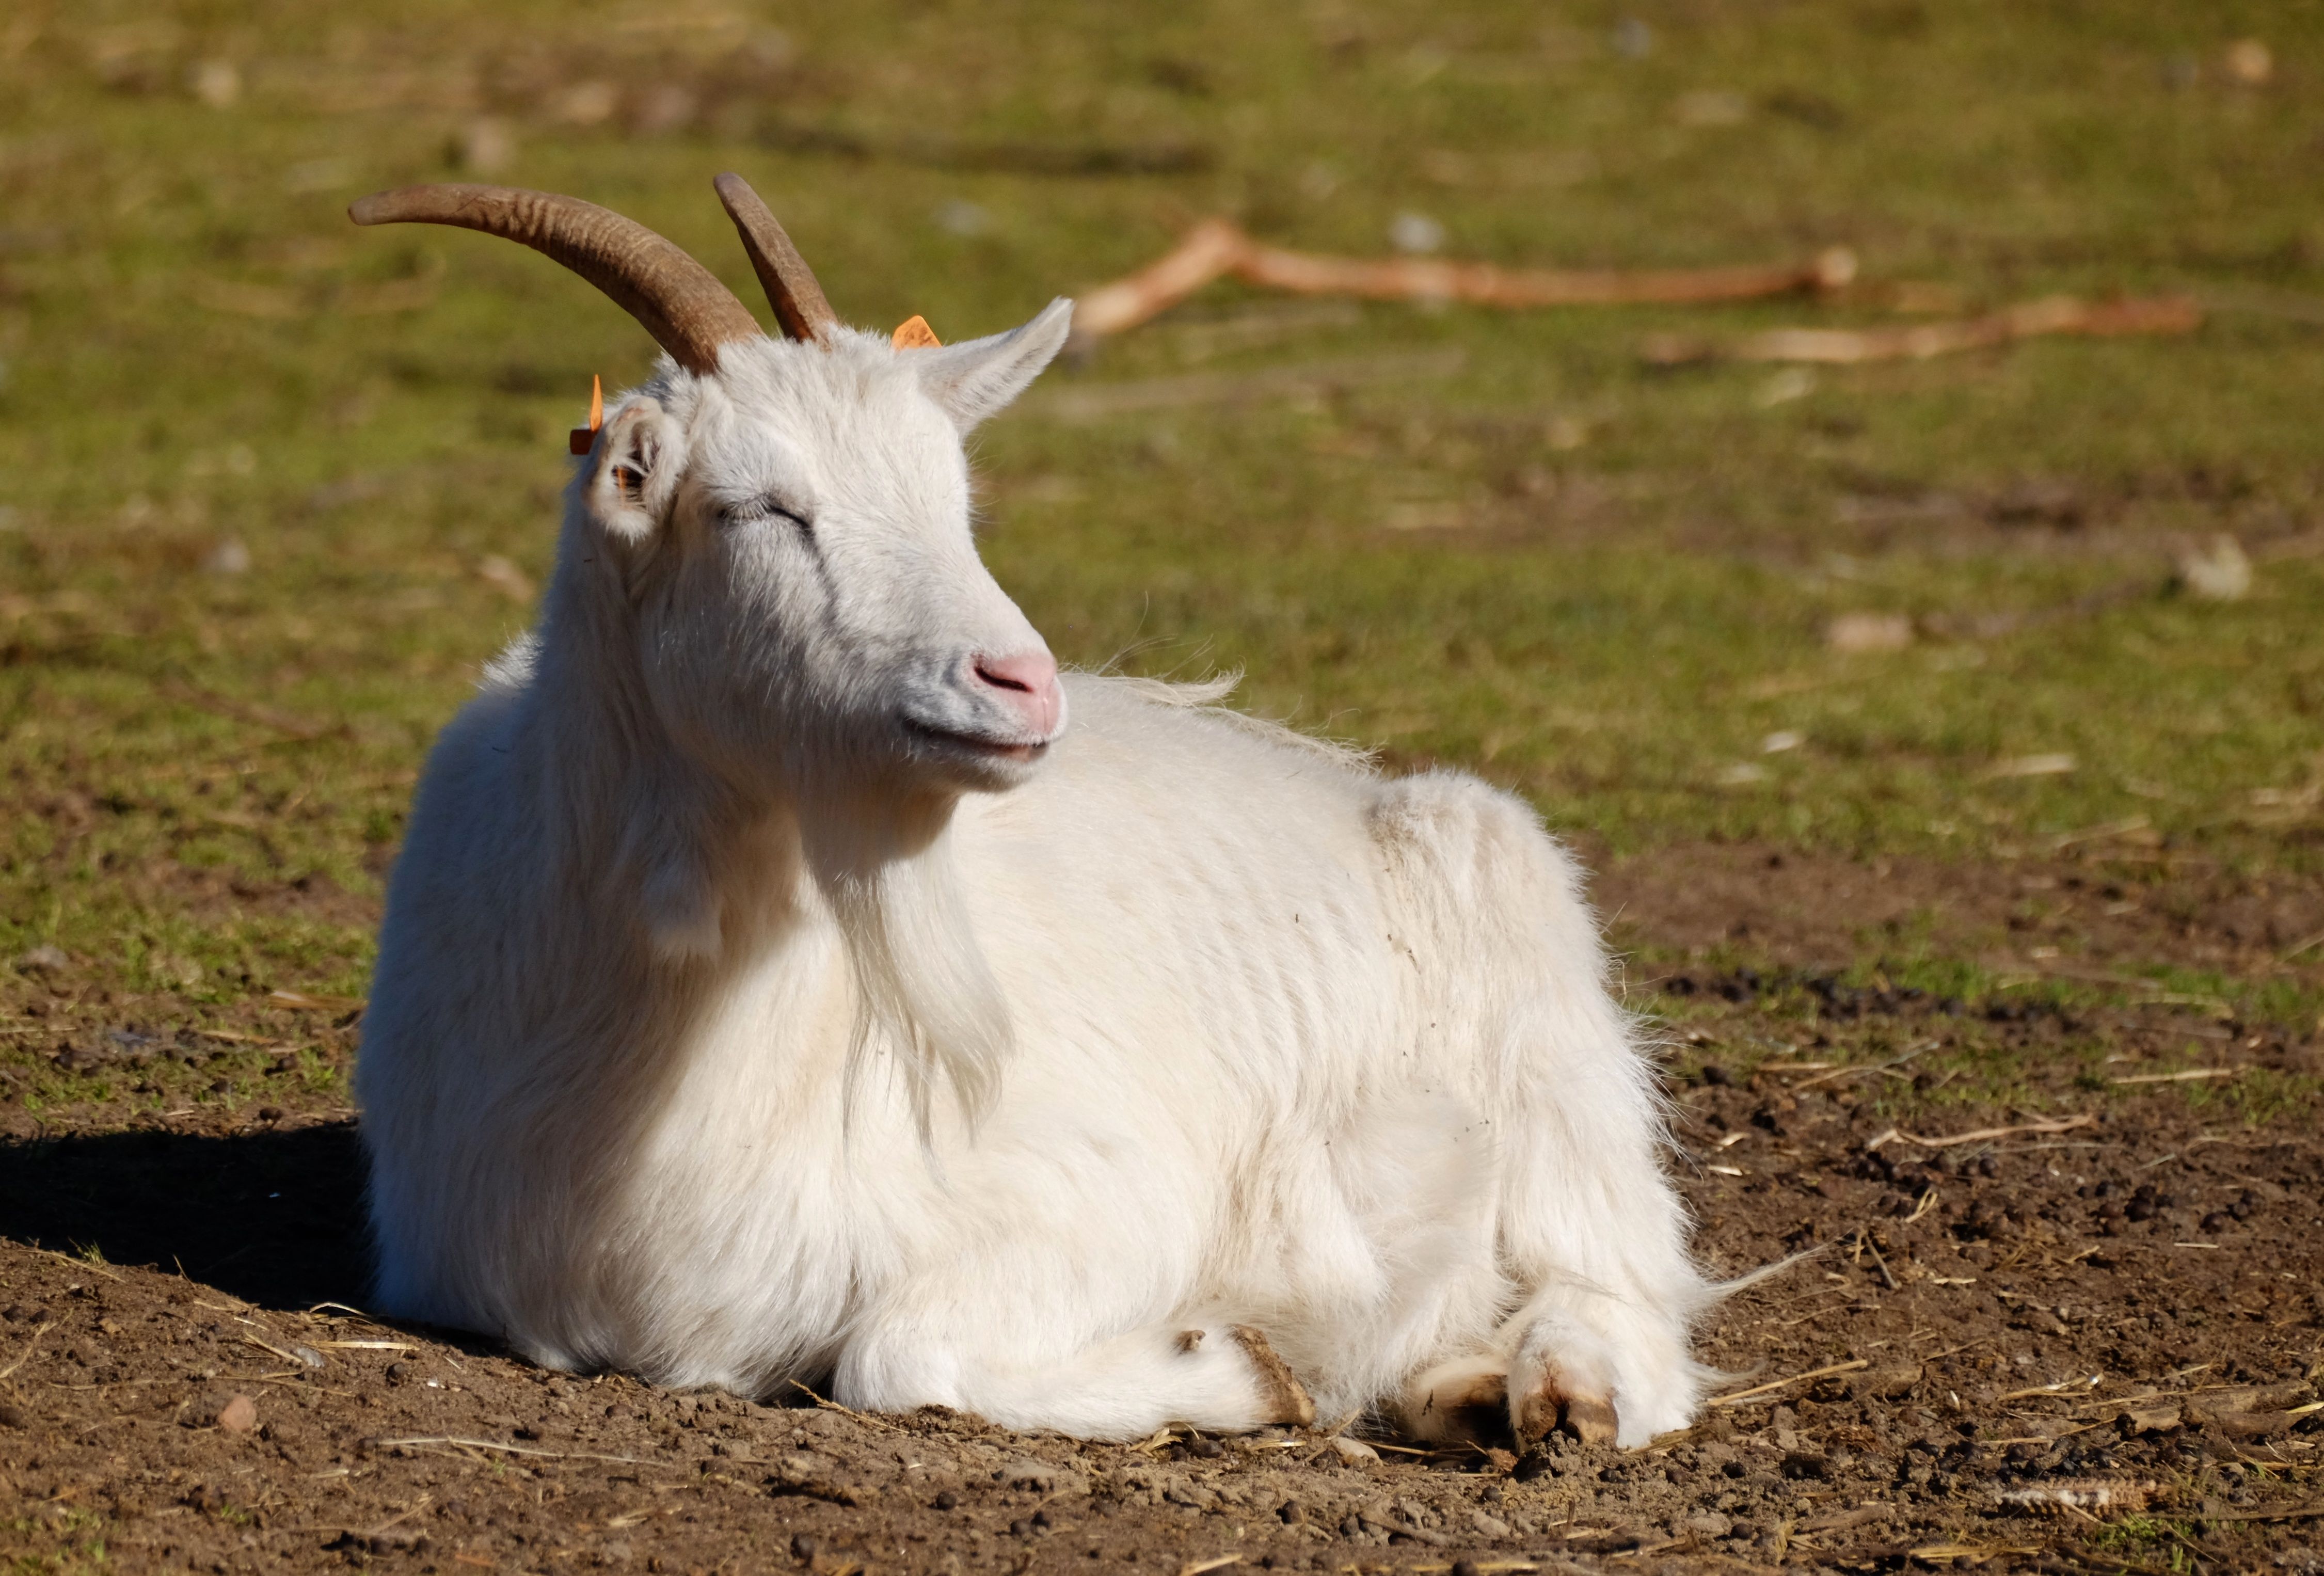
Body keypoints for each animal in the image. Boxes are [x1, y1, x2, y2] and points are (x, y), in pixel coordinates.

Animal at [350, 175, 1713, 1446]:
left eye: (952, 496)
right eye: (762, 507)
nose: (1020, 681)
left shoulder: (1106, 1195)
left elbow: (898, 1353)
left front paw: (1242, 1364)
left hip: (1532, 1013)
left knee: (1619, 1281)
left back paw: (1559, 1390)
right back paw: (1460, 1388)